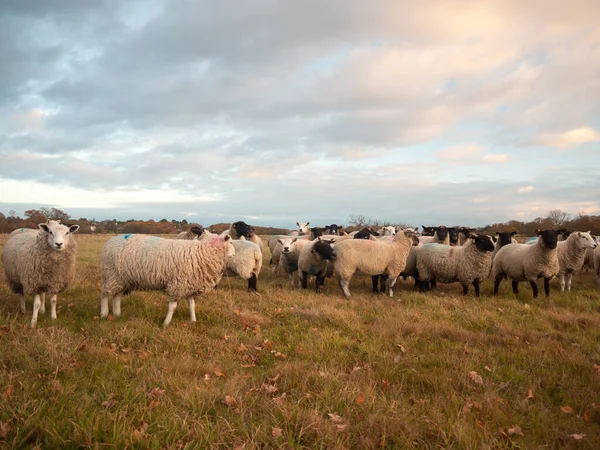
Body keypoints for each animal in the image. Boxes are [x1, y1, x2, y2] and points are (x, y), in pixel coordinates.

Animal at [101, 232, 234, 326]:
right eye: (232, 242)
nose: (234, 255)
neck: (203, 252)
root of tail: (109, 242)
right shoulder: (178, 285)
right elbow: (173, 307)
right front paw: (166, 323)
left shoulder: (189, 285)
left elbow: (192, 305)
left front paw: (193, 321)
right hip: (111, 274)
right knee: (105, 294)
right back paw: (104, 314)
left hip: (122, 279)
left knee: (117, 295)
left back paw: (117, 314)